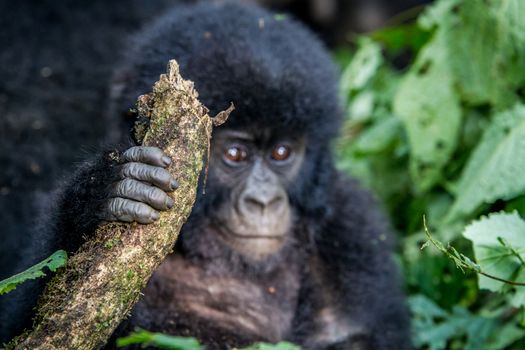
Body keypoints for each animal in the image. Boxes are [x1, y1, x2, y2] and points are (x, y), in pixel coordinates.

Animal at [0, 1, 410, 348]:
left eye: (281, 153)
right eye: (234, 155)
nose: (264, 201)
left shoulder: (353, 223)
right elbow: (28, 324)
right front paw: (103, 193)